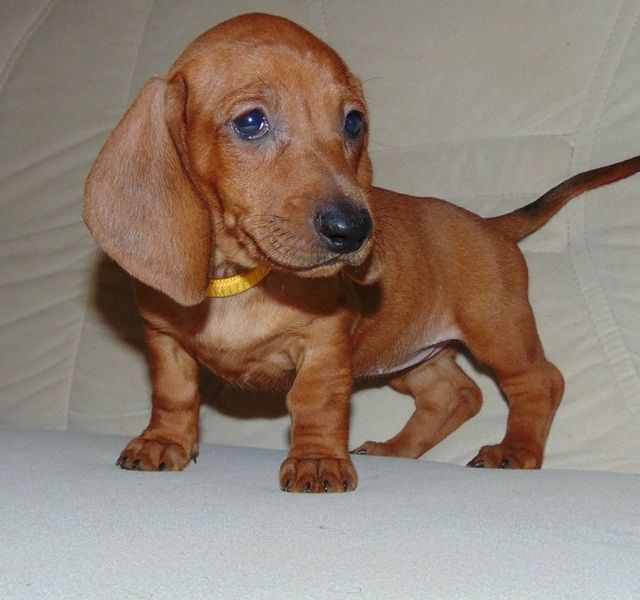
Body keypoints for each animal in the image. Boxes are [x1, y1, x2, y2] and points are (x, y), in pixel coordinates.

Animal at [84, 13, 640, 492]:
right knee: (455, 394)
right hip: (409, 353)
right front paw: (164, 443)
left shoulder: (325, 345)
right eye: (251, 122)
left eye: (353, 123)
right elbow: (173, 393)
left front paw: (317, 461)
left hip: (497, 329)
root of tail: (489, 224)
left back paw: (516, 450)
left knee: (538, 381)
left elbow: (314, 401)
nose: (353, 230)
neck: (238, 277)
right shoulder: (163, 339)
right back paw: (398, 450)